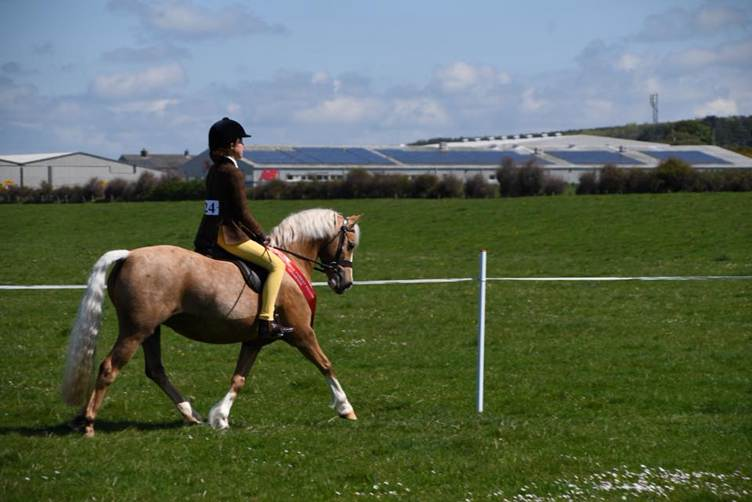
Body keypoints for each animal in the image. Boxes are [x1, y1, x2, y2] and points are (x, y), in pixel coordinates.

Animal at [62, 208, 361, 437]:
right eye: (350, 245)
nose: (345, 282)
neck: (289, 265)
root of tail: (129, 255)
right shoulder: (301, 332)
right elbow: (325, 364)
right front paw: (346, 408)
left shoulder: (255, 340)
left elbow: (239, 378)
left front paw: (220, 417)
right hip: (135, 331)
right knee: (109, 367)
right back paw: (89, 423)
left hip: (150, 331)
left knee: (156, 370)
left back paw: (189, 414)